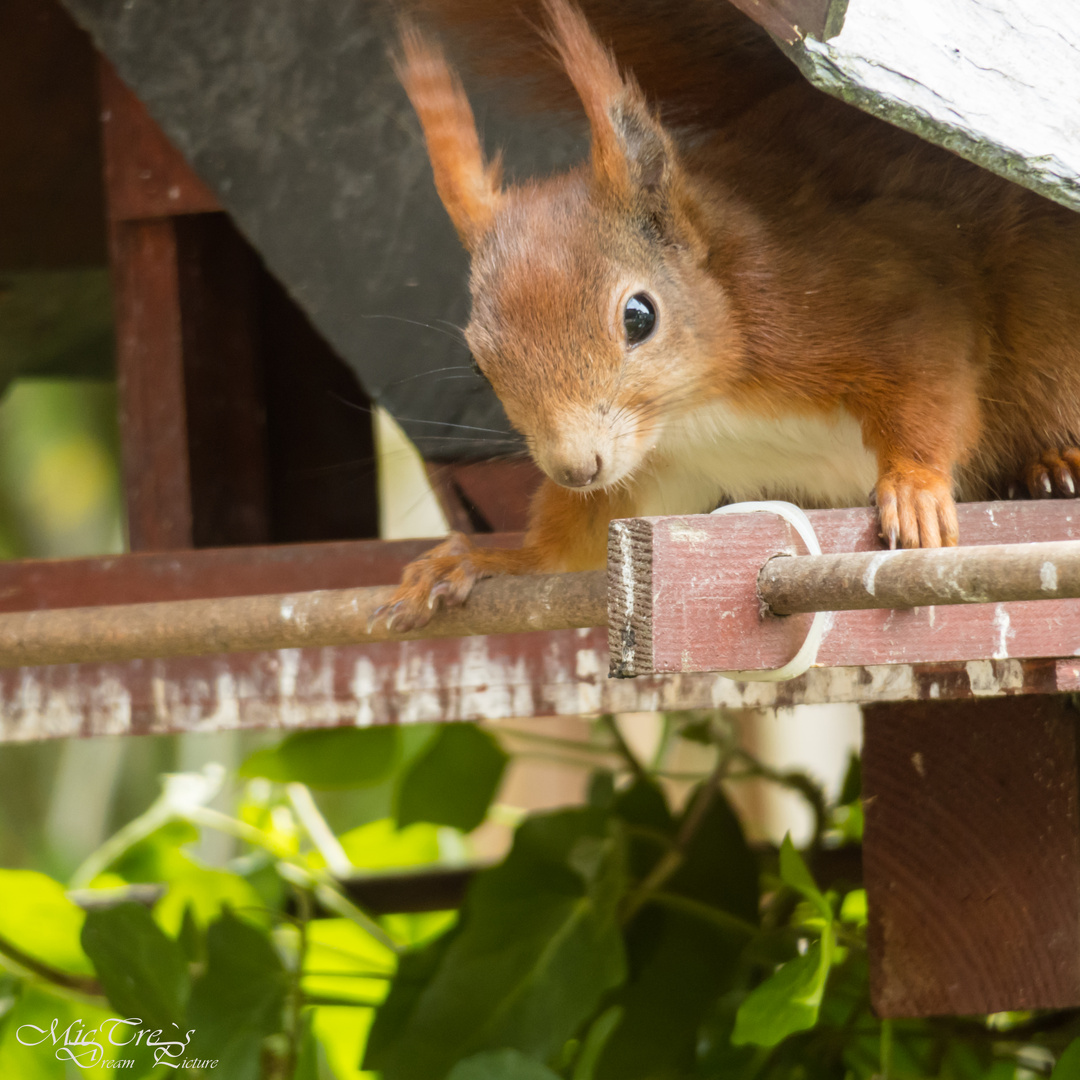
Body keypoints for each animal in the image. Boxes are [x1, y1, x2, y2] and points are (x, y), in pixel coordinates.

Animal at [375, 0, 1080, 630]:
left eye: (639, 316)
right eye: (478, 362)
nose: (575, 469)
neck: (701, 410)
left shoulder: (871, 296)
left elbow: (932, 383)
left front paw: (914, 488)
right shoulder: (658, 471)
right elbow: (571, 547)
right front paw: (480, 560)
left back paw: (1055, 464)